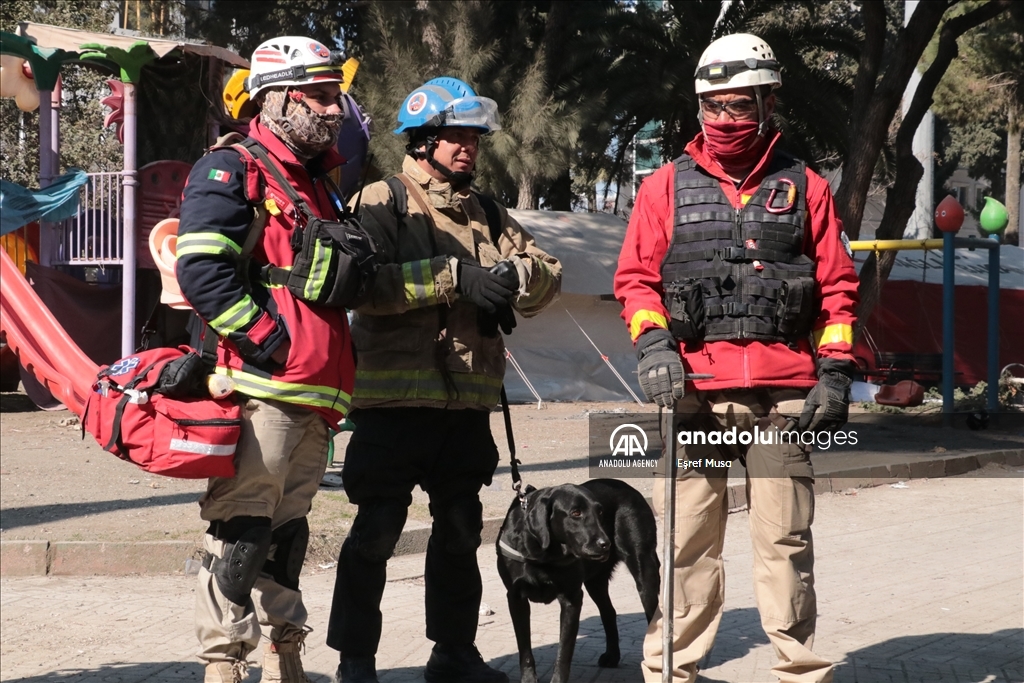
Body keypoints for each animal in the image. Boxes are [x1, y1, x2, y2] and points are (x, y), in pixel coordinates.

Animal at [495, 479, 660, 683]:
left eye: (600, 512)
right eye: (575, 513)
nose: (605, 544)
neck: (543, 553)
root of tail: (629, 489)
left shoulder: (572, 598)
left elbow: (564, 653)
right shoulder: (516, 598)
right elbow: (524, 648)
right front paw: (528, 679)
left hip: (644, 570)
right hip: (595, 581)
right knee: (609, 612)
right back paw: (612, 656)